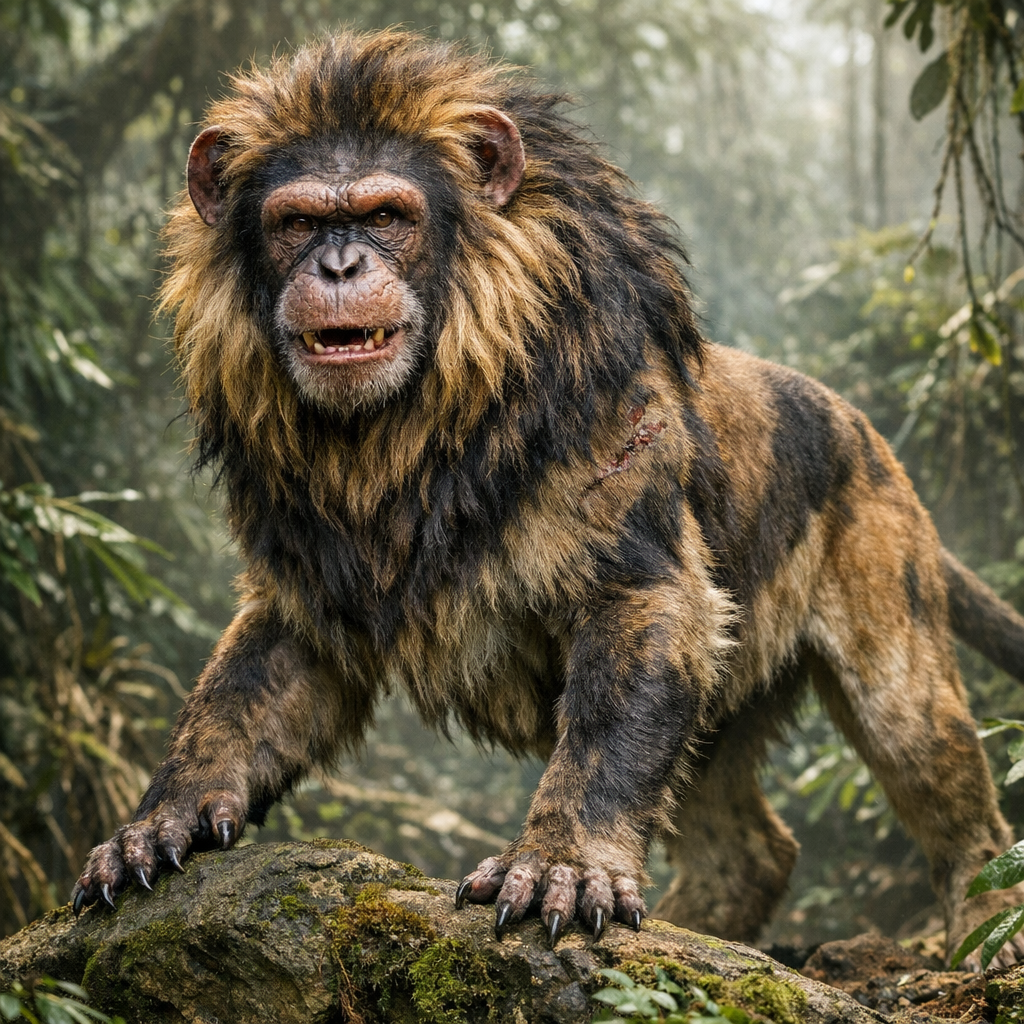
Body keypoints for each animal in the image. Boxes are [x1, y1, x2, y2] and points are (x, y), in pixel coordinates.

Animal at [71, 30, 1024, 966]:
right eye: (298, 222)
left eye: (385, 216)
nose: (339, 265)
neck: (396, 435)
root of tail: (865, 430)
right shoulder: (303, 587)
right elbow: (237, 701)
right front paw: (158, 824)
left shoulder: (635, 574)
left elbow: (606, 733)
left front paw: (559, 869)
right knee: (751, 847)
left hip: (895, 646)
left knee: (941, 780)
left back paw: (984, 930)